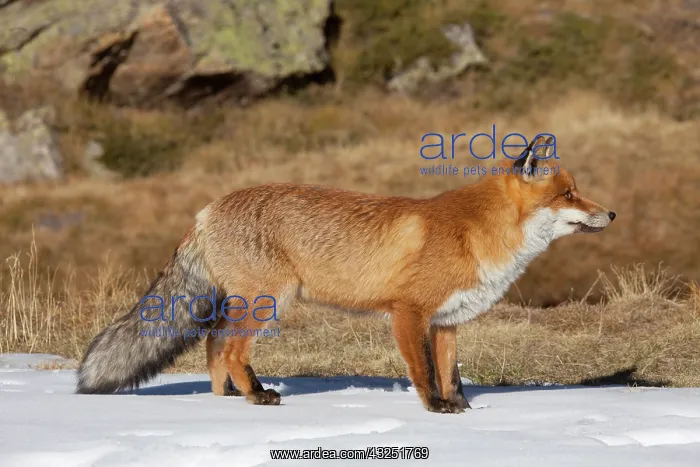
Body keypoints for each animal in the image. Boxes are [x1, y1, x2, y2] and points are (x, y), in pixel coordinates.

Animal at [76, 135, 615, 413]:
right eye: (568, 195)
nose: (610, 214)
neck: (479, 232)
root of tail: (207, 209)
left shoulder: (447, 321)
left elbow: (451, 373)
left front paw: (460, 409)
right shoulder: (408, 313)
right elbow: (424, 372)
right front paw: (435, 410)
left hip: (248, 303)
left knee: (213, 345)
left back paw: (225, 400)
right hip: (270, 301)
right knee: (228, 349)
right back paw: (256, 396)